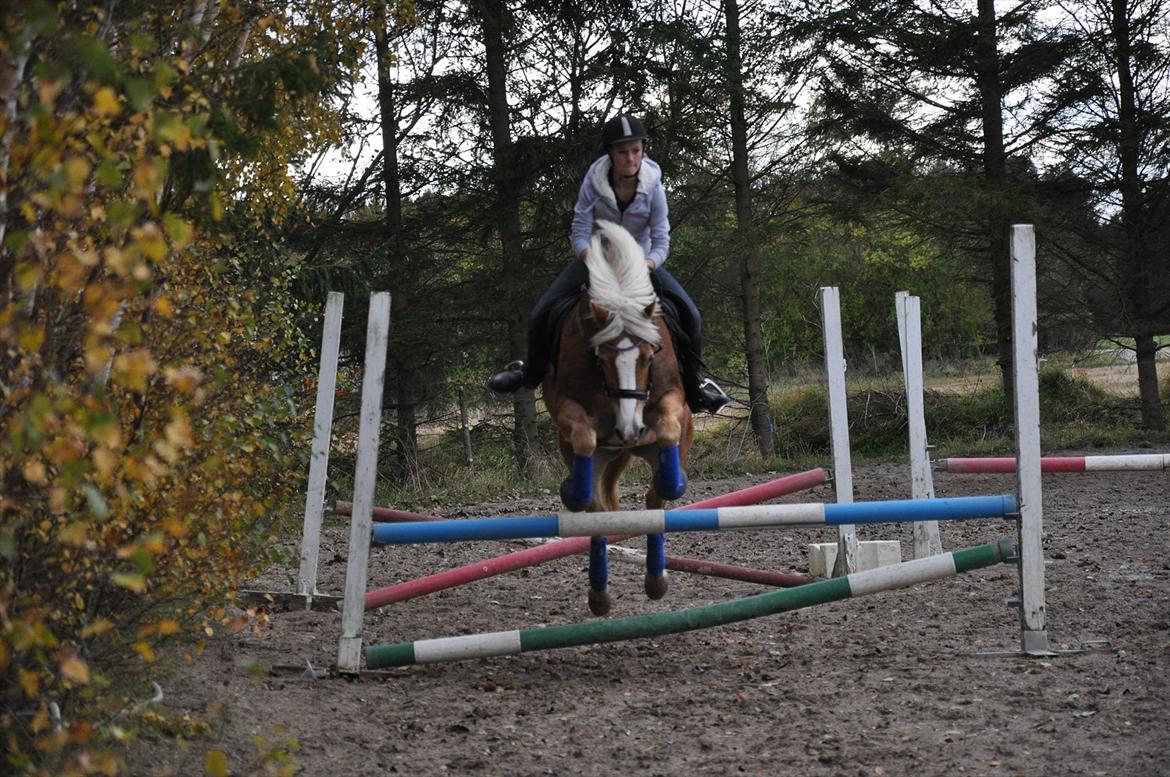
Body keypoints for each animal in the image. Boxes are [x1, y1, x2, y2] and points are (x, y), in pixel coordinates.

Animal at [540, 221, 692, 617]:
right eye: (602, 358)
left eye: (649, 356)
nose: (629, 430)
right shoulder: (567, 408)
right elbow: (583, 435)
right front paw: (571, 490)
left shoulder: (674, 401)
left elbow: (668, 429)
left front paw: (674, 480)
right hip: (593, 459)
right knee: (595, 508)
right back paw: (599, 595)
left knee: (655, 500)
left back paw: (656, 580)